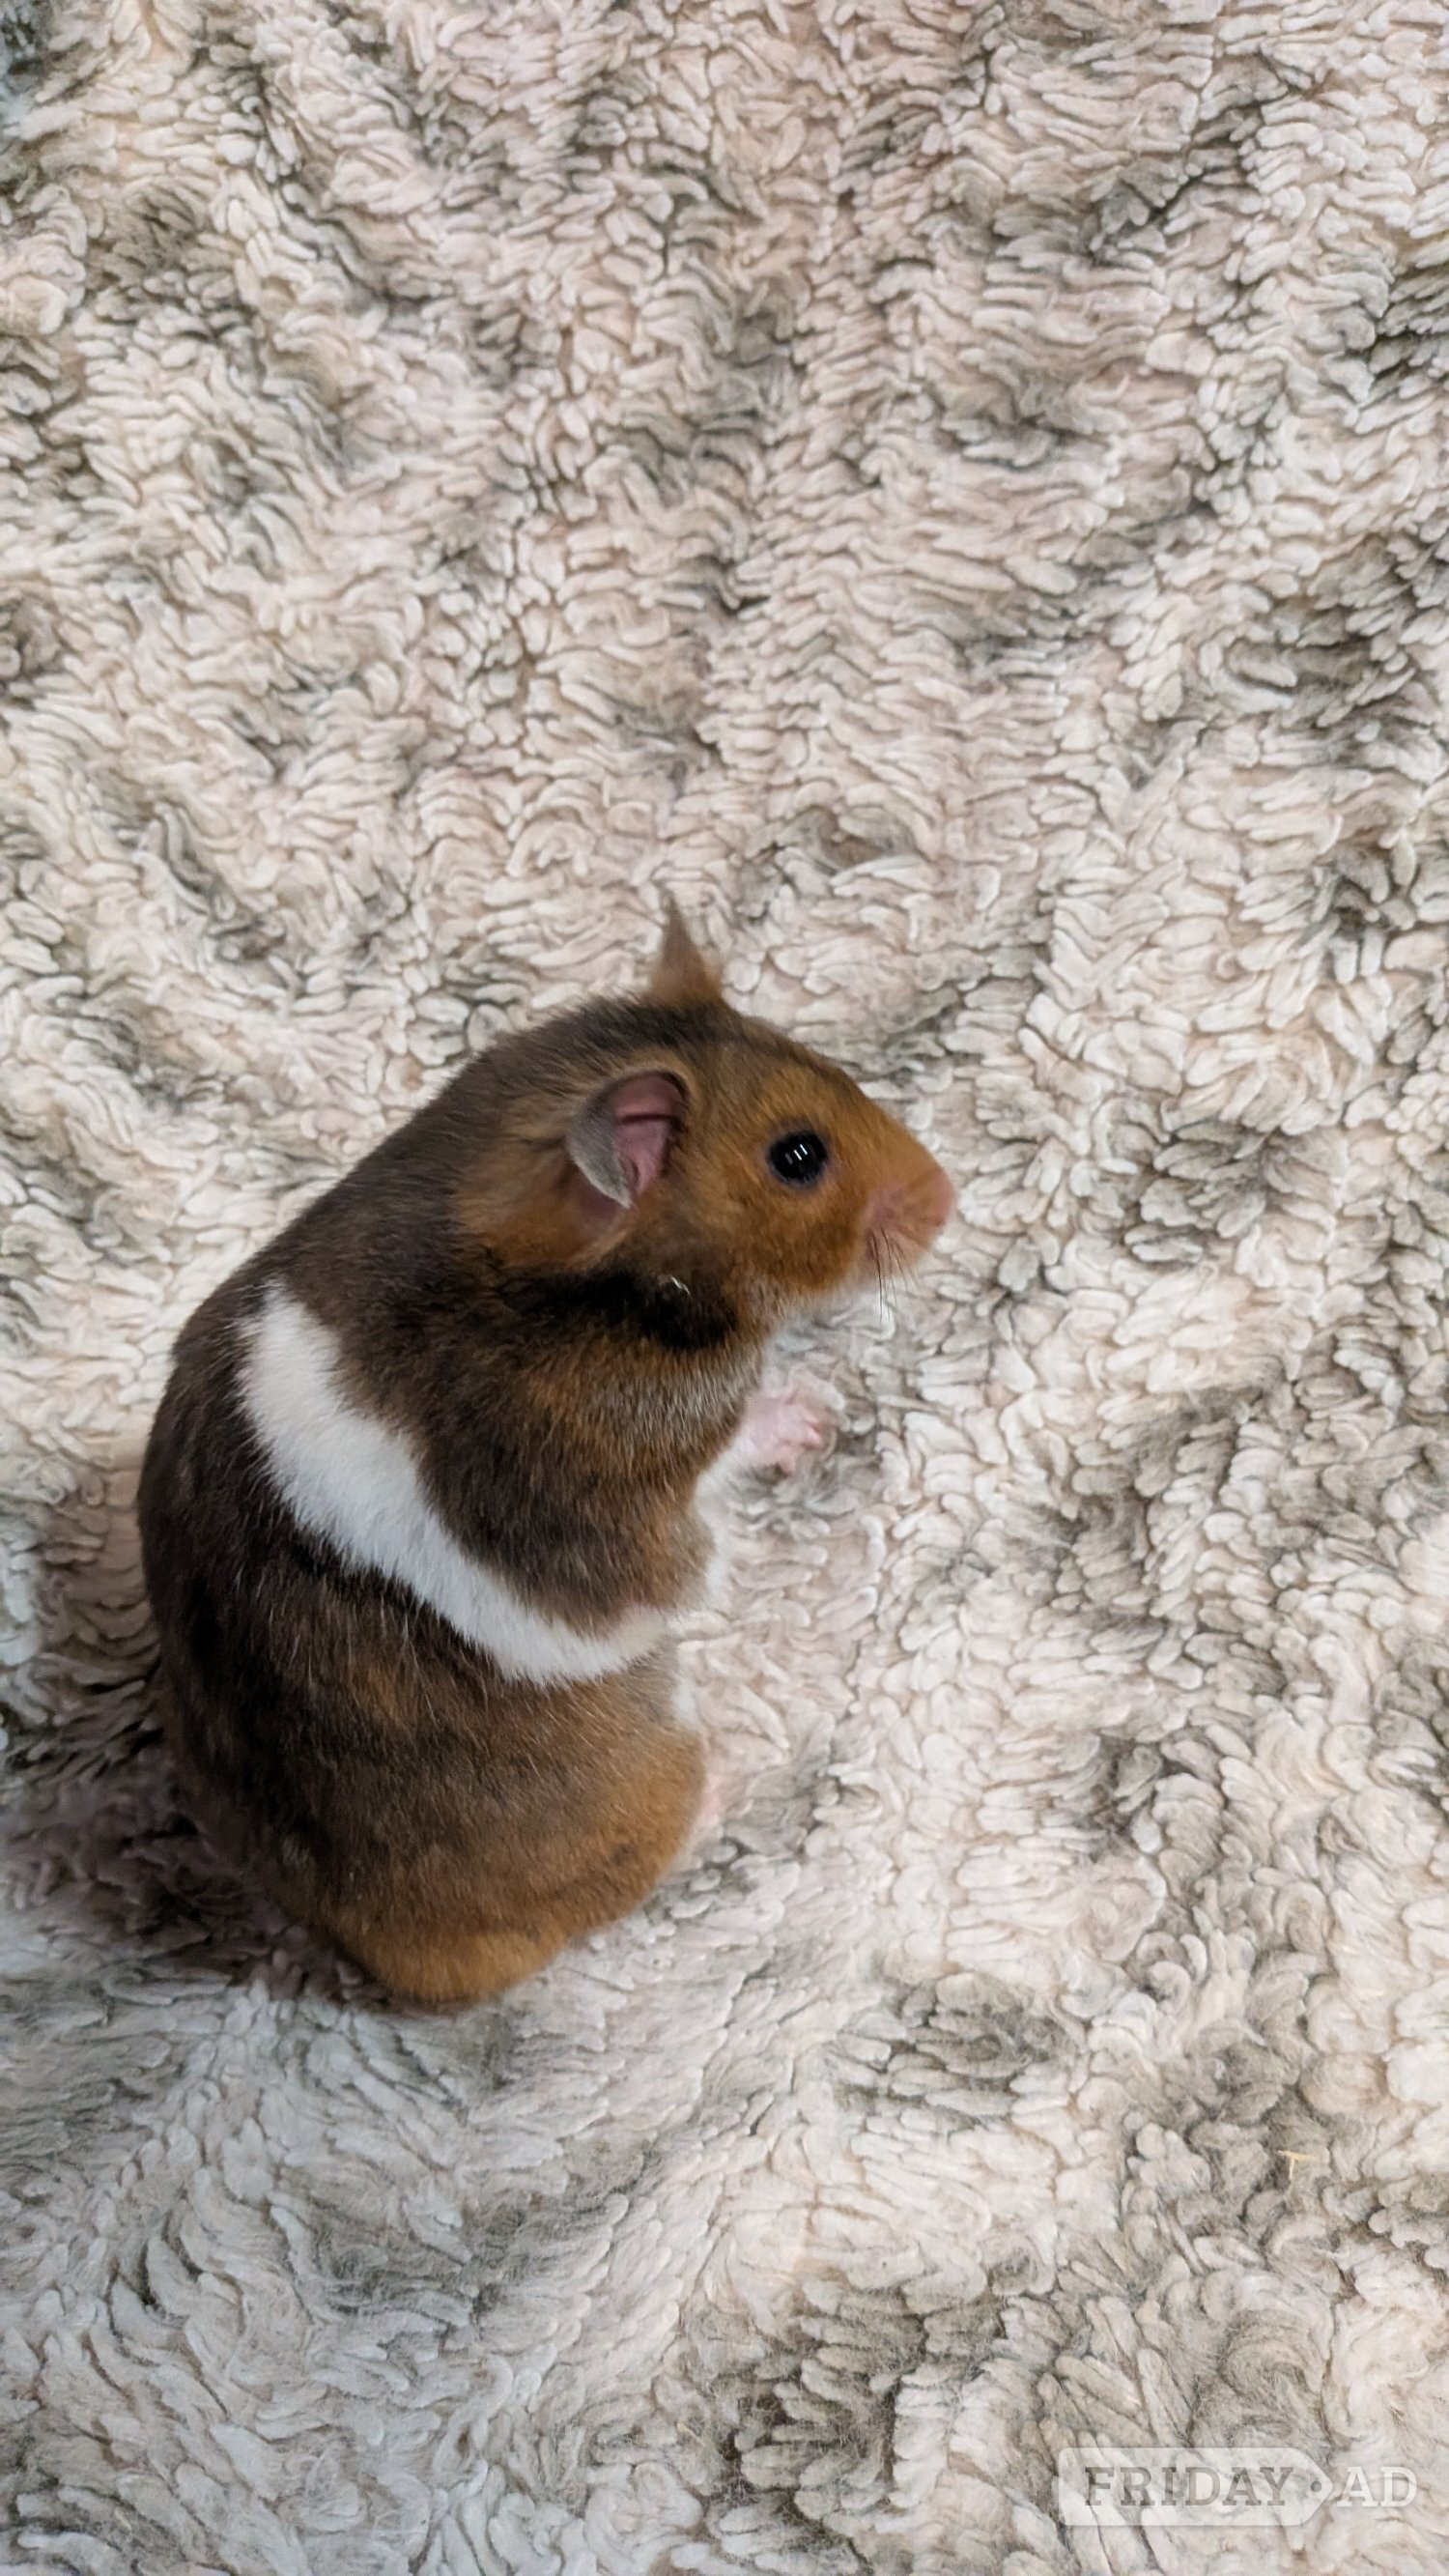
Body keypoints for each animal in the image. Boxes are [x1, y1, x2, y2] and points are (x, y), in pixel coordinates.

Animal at [138, 906, 953, 2003]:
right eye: (797, 1156)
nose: (951, 1197)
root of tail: (402, 1963)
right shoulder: (652, 1479)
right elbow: (723, 1473)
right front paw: (813, 1418)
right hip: (654, 1742)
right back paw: (730, 1786)